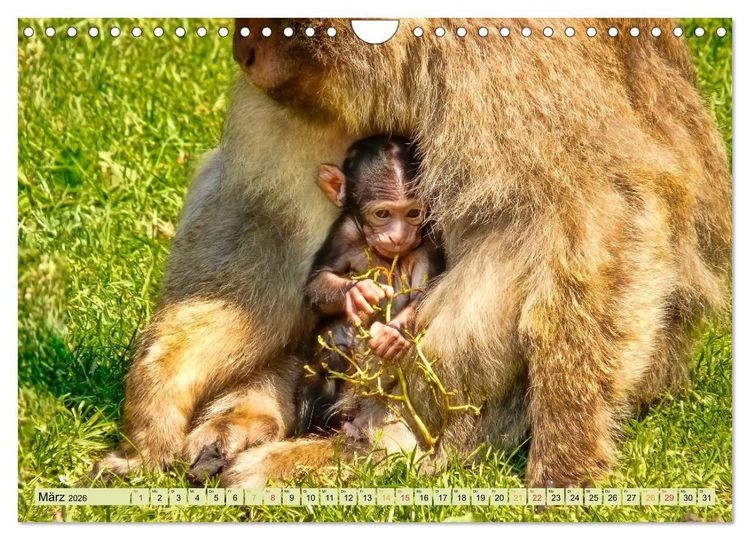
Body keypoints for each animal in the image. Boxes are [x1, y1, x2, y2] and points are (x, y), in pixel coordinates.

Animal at [295, 135, 445, 436]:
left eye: (413, 212)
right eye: (383, 214)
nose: (399, 236)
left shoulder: (429, 240)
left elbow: (425, 293)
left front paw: (393, 334)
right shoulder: (344, 232)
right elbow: (318, 281)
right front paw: (357, 293)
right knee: (331, 349)